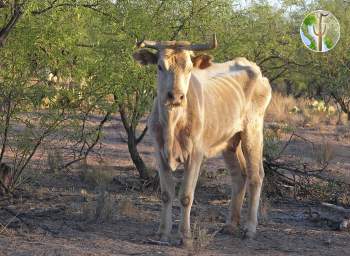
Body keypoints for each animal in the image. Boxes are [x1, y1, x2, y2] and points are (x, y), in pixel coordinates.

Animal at [133, 34, 272, 246]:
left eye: (189, 68)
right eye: (159, 66)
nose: (176, 96)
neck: (173, 123)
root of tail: (254, 68)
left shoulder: (195, 155)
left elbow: (186, 196)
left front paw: (185, 236)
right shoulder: (159, 153)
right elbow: (166, 194)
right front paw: (163, 233)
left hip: (253, 131)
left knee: (256, 176)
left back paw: (249, 228)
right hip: (230, 141)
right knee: (238, 175)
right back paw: (231, 224)